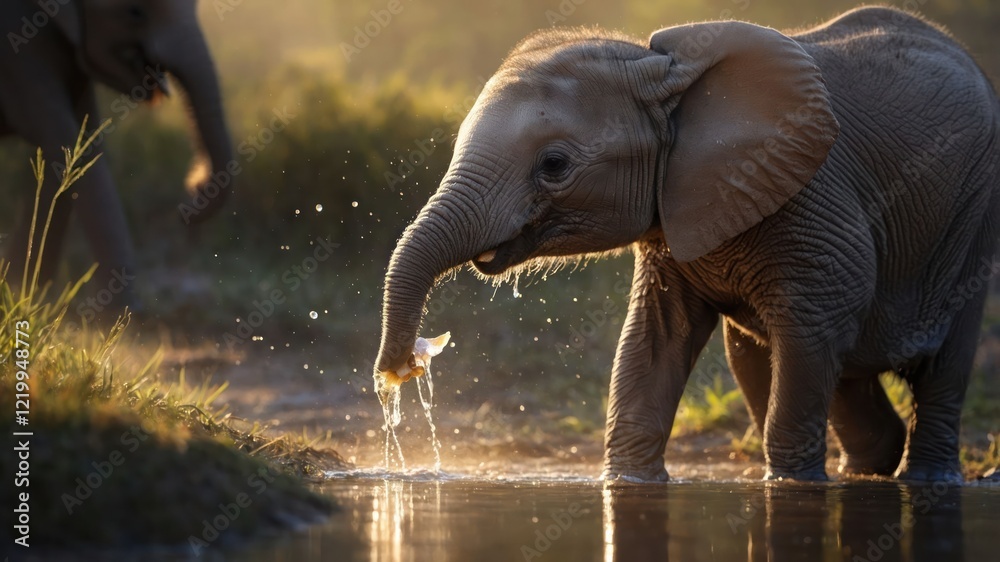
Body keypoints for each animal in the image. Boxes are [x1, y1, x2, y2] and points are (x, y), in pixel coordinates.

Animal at [0, 0, 232, 309]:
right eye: (135, 13)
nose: (194, 191)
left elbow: (80, 147)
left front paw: (24, 294)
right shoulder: (14, 48)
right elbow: (65, 141)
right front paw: (118, 315)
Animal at [374, 6, 1000, 482]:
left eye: (554, 164)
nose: (400, 368)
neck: (662, 73)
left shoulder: (814, 200)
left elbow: (822, 318)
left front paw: (792, 488)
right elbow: (653, 340)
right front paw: (629, 483)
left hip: (972, 223)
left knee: (936, 360)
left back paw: (927, 479)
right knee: (790, 360)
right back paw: (867, 471)